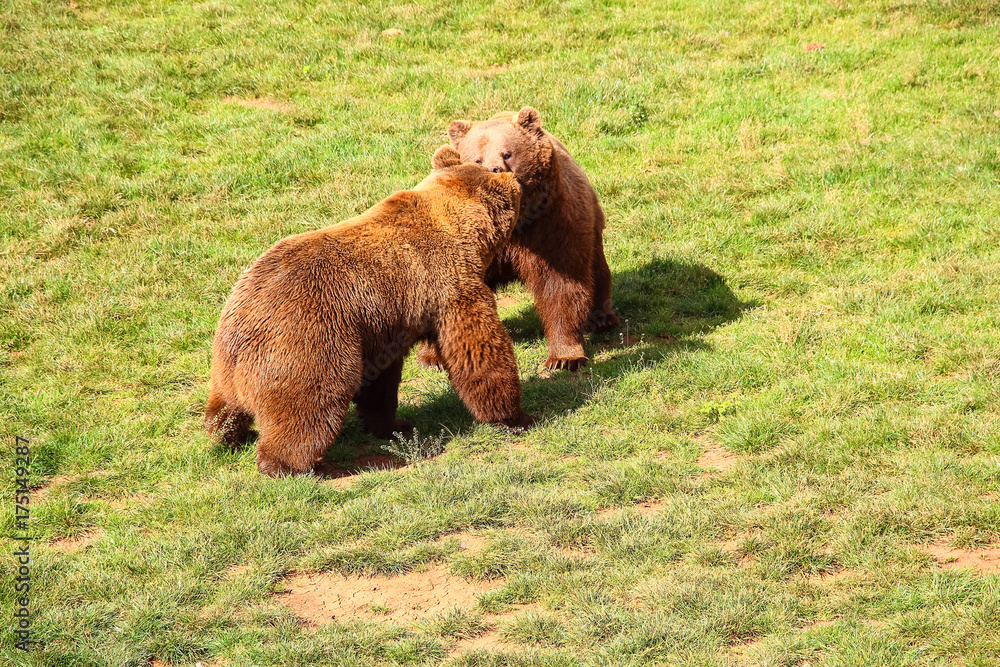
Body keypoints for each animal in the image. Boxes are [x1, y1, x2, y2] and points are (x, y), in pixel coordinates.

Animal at [205, 146, 534, 476]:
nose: (512, 176)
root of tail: (243, 325)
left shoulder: (384, 324)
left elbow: (380, 382)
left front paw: (394, 424)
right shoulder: (449, 287)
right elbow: (478, 350)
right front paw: (514, 416)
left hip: (225, 361)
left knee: (224, 406)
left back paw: (225, 433)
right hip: (308, 340)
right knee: (309, 404)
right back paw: (286, 464)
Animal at [417, 106, 619, 372]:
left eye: (508, 153)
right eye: (477, 158)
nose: (494, 168)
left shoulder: (549, 227)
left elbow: (562, 286)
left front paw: (565, 357)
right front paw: (432, 356)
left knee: (595, 268)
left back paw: (603, 318)